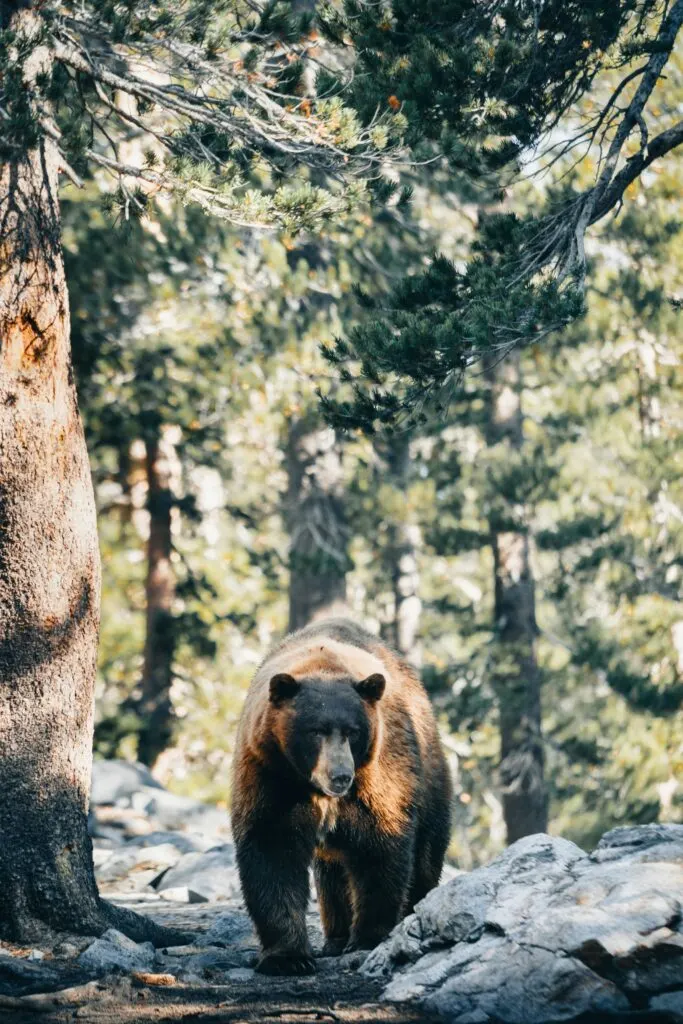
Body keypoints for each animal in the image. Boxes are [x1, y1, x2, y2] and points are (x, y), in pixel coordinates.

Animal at [232, 614, 450, 974]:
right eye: (315, 730)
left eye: (353, 731)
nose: (340, 776)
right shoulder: (271, 773)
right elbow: (272, 851)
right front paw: (287, 956)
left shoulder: (380, 776)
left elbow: (381, 848)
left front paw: (368, 937)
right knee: (331, 875)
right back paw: (334, 938)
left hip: (429, 779)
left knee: (426, 857)